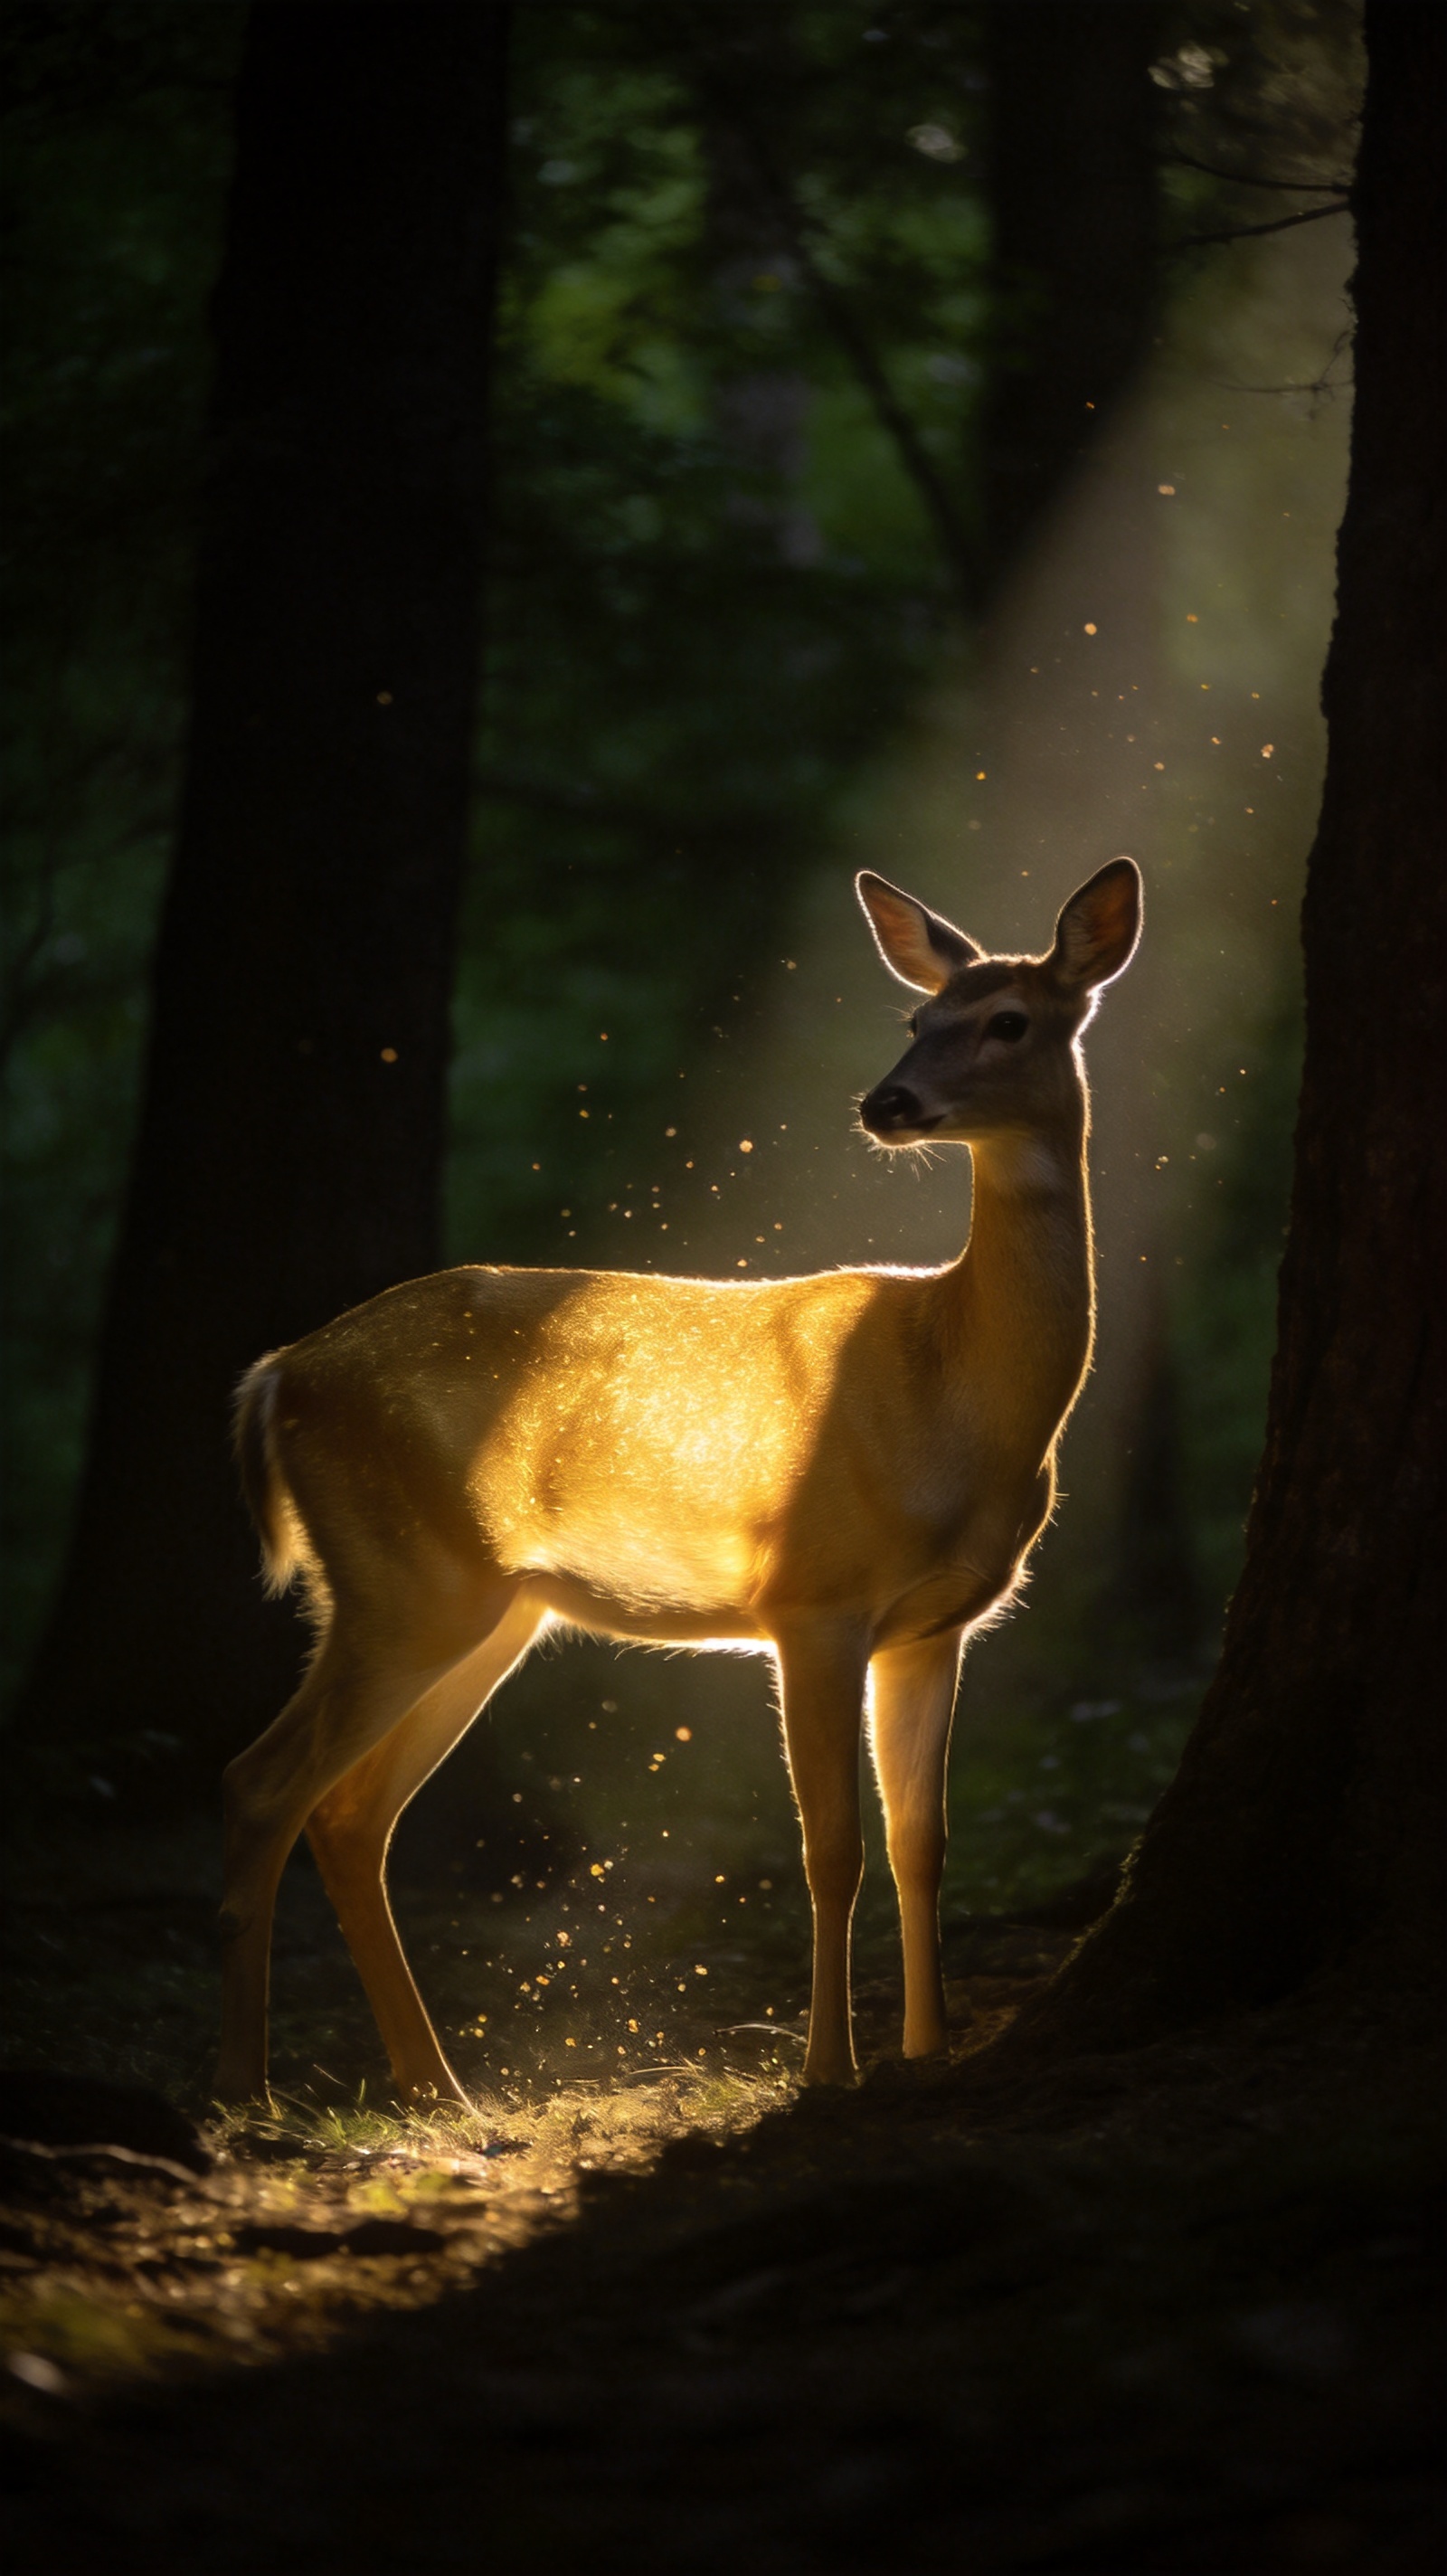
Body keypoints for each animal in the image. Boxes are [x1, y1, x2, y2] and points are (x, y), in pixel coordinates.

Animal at [217, 856, 1141, 2101]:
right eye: (916, 1020)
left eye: (1007, 1021)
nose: (885, 1104)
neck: (956, 1388)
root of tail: (278, 1374)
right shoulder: (812, 1597)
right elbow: (833, 1845)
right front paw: (828, 2068)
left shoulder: (933, 1625)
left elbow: (922, 1842)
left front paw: (927, 2051)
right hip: (403, 1580)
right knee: (262, 1785)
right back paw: (244, 2086)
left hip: (481, 1602)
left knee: (352, 1812)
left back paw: (434, 2087)